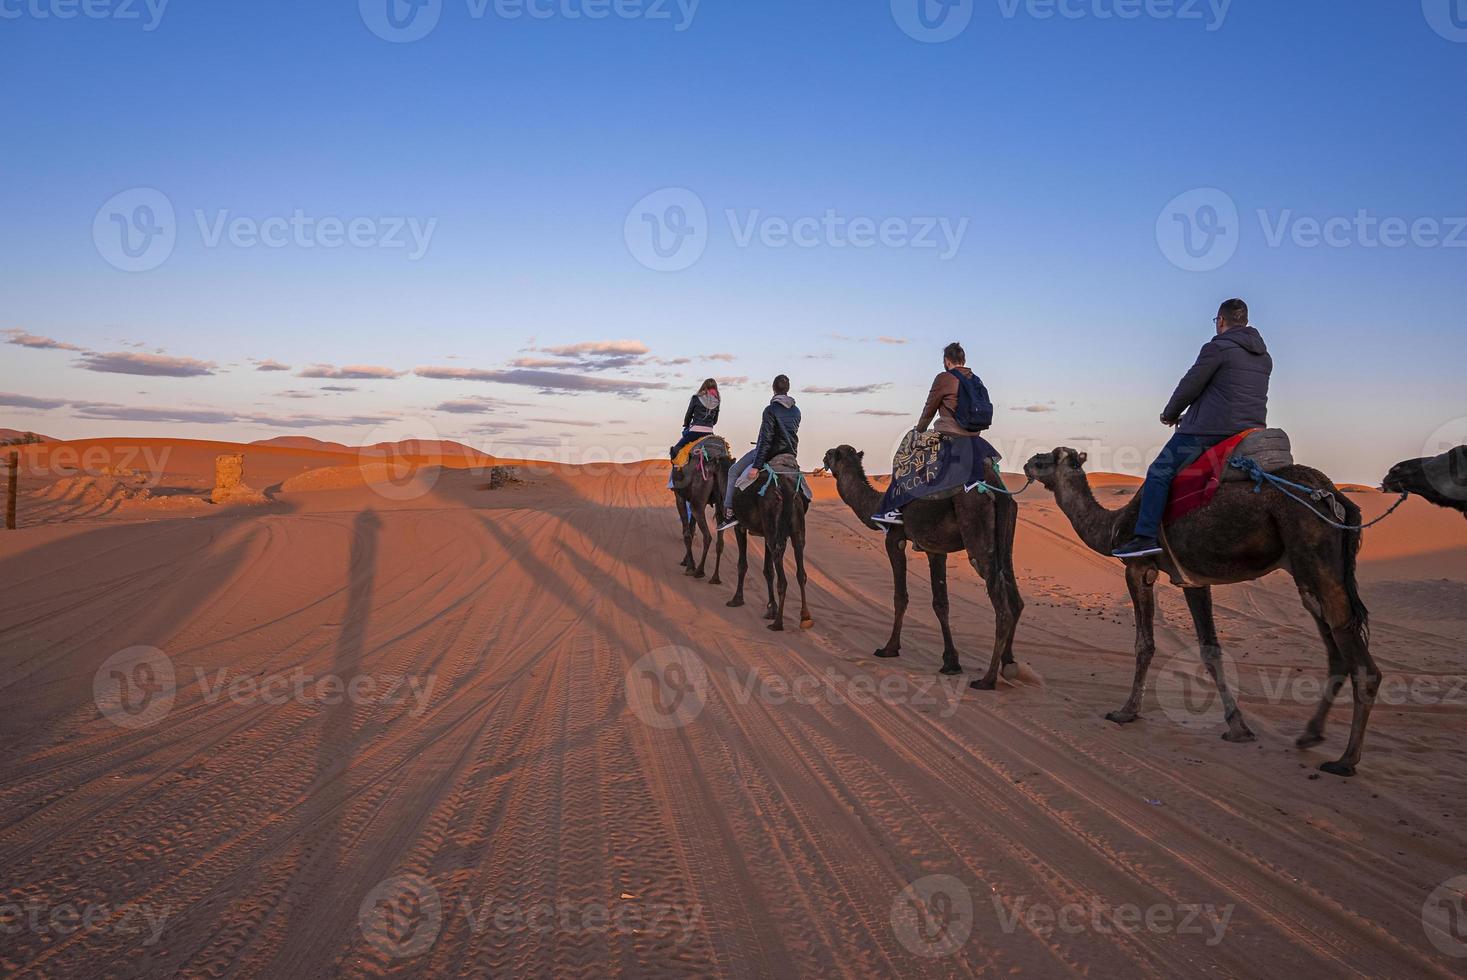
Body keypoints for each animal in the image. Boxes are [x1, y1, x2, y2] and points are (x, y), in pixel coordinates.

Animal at [671, 443, 730, 580]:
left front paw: (690, 566)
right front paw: (686, 561)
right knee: (720, 541)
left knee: (707, 536)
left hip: (697, 502)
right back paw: (715, 577)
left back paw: (699, 571)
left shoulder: (679, 497)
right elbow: (692, 530)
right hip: (721, 502)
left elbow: (687, 533)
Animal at [724, 460, 815, 630]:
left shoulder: (740, 527)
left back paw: (778, 623)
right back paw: (805, 617)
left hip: (773, 528)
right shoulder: (767, 535)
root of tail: (786, 492)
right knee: (801, 573)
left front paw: (737, 599)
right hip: (795, 531)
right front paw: (771, 608)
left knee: (783, 580)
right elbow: (768, 571)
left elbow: (742, 564)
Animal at [821, 445, 1026, 689]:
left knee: (1001, 607)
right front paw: (950, 662)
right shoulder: (935, 549)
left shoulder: (895, 539)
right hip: (1006, 534)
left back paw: (987, 679)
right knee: (1015, 597)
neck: (876, 504)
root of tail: (998, 488)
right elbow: (940, 603)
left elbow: (900, 597)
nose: (823, 458)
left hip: (976, 523)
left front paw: (889, 648)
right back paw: (1009, 663)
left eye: (831, 454)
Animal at [1026, 448, 1378, 774]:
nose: (1029, 463)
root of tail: (1336, 497)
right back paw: (1310, 735)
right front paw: (1238, 727)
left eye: (1049, 458)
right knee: (1336, 648)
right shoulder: (1192, 578)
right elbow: (1210, 650)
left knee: (1360, 661)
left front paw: (1126, 711)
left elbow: (1144, 643)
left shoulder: (1138, 568)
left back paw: (1346, 760)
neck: (1113, 526)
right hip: (1306, 573)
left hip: (1315, 556)